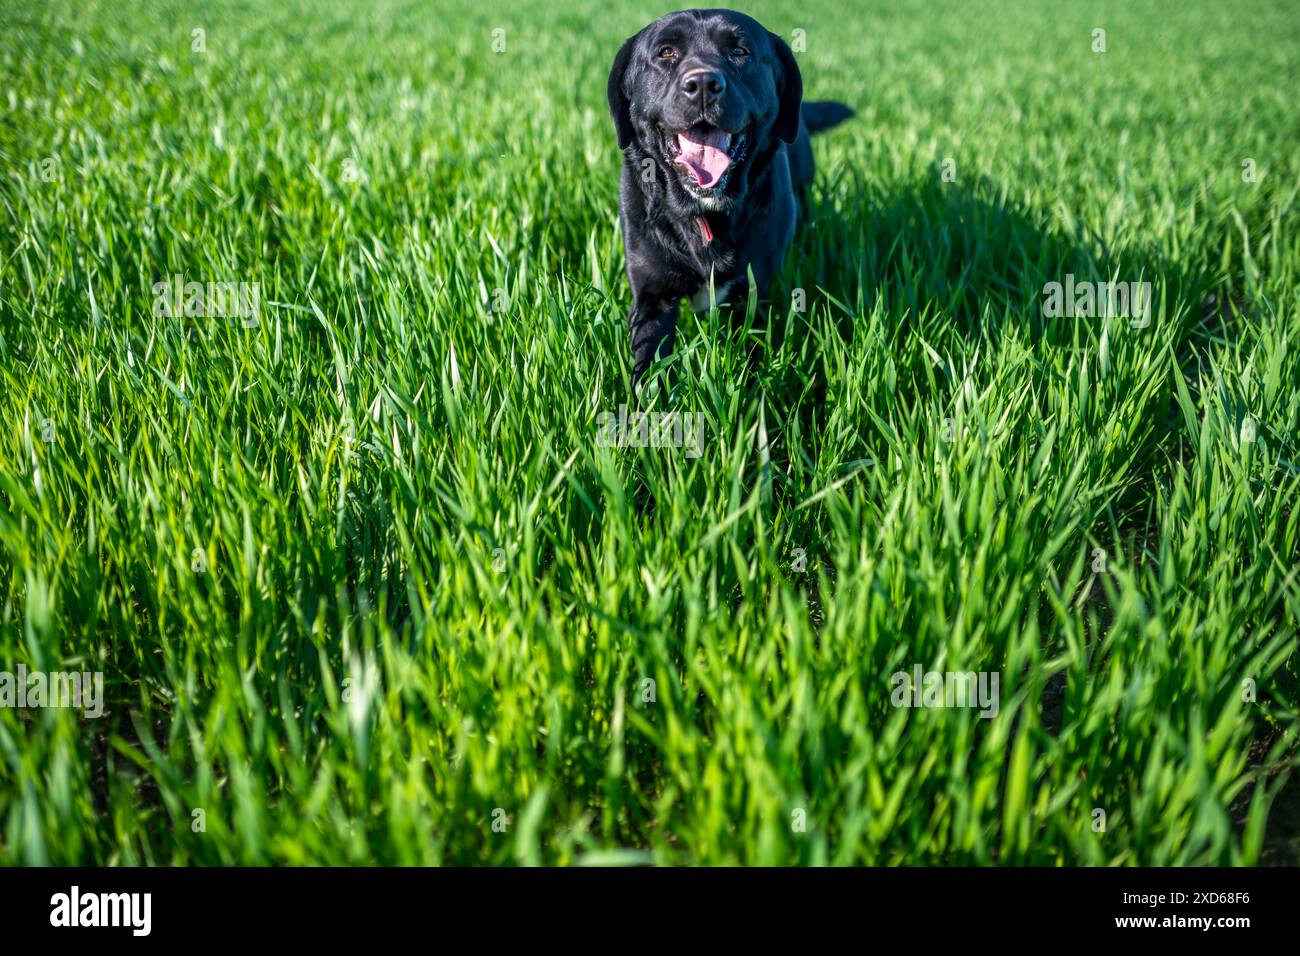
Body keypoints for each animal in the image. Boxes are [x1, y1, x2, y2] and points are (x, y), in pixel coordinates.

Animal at [608, 7, 852, 390]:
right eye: (666, 52)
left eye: (739, 52)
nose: (703, 84)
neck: (705, 215)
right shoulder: (652, 295)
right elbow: (648, 371)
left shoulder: (752, 293)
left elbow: (751, 359)